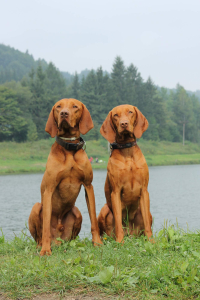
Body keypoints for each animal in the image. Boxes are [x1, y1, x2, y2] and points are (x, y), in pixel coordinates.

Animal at [28, 98, 102, 255]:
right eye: (58, 107)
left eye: (75, 106)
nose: (64, 113)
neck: (69, 147)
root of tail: (58, 240)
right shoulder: (49, 189)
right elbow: (46, 224)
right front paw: (45, 250)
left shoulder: (88, 185)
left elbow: (93, 218)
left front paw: (97, 243)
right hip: (36, 207)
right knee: (39, 236)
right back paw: (42, 246)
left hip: (76, 212)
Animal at [97, 104, 152, 243]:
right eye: (116, 115)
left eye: (130, 112)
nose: (124, 124)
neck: (127, 152)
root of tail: (130, 234)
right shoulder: (116, 192)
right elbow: (118, 222)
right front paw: (119, 242)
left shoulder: (144, 190)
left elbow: (147, 225)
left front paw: (152, 241)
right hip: (104, 209)